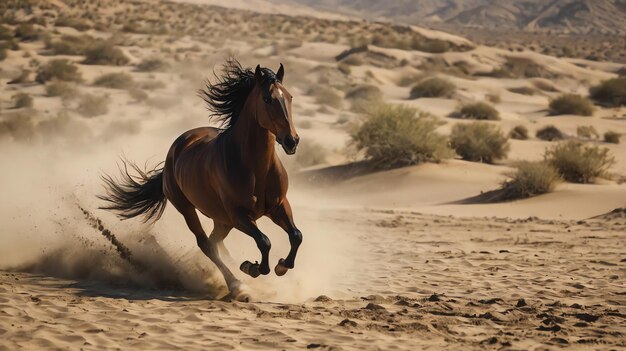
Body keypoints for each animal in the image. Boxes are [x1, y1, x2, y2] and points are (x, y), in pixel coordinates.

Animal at [98, 59, 302, 302]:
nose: (292, 141)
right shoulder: (240, 215)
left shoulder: (278, 206)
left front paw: (282, 266)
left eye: (289, 97)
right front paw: (250, 267)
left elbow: (296, 236)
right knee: (207, 245)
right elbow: (264, 241)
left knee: (215, 242)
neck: (255, 168)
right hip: (189, 209)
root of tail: (176, 149)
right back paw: (238, 285)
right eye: (267, 99)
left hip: (222, 219)